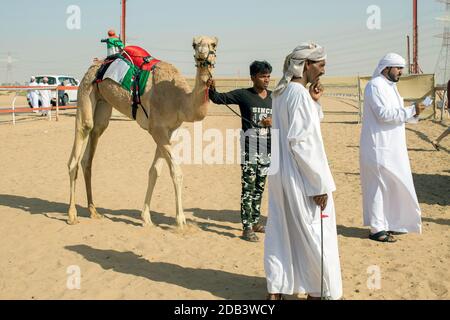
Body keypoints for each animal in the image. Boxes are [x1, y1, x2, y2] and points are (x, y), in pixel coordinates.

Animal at [67, 35, 220, 228]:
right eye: (194, 44)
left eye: (213, 44)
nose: (202, 53)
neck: (179, 100)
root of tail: (93, 68)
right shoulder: (157, 129)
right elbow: (176, 172)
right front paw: (181, 220)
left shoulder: (170, 131)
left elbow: (154, 171)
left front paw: (146, 217)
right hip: (85, 91)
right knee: (79, 145)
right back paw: (72, 215)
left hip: (102, 104)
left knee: (90, 149)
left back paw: (93, 210)